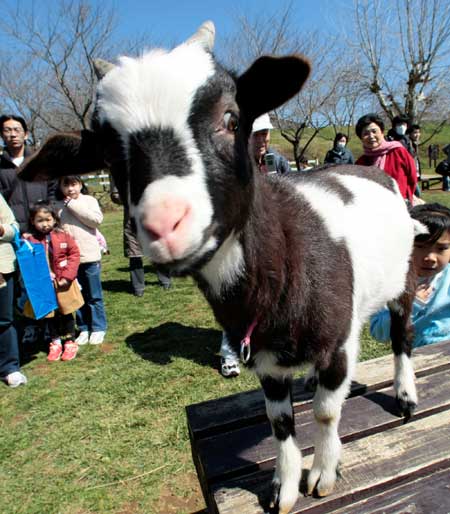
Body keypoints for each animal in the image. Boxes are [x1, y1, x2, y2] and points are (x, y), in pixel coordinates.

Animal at [21, 22, 420, 512]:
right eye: (109, 154)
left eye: (232, 119)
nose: (164, 224)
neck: (285, 258)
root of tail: (373, 170)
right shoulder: (265, 357)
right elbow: (279, 422)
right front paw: (284, 486)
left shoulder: (337, 341)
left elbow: (327, 413)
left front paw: (324, 473)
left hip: (402, 280)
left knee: (402, 336)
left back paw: (405, 395)